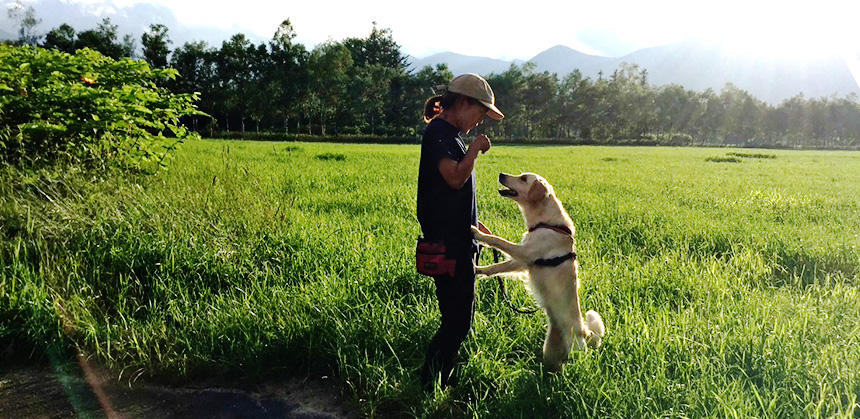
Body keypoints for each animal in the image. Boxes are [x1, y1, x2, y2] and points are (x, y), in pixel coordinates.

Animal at [470, 173, 604, 370]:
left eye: (524, 178)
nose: (501, 174)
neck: (547, 223)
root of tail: (584, 331)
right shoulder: (521, 261)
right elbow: (495, 268)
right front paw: (476, 269)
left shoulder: (524, 252)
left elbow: (497, 240)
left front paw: (478, 233)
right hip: (550, 349)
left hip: (573, 350)